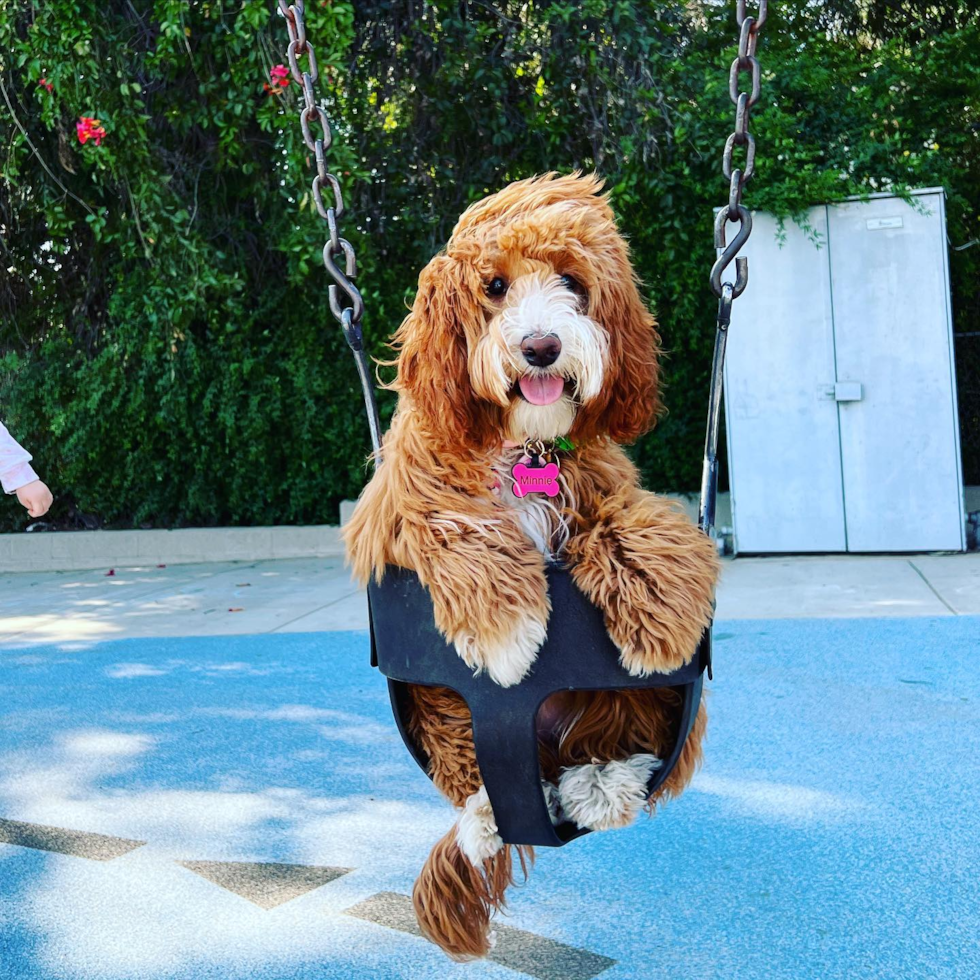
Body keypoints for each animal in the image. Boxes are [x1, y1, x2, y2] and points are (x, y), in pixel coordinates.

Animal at [344, 170, 720, 956]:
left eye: (573, 283)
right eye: (494, 285)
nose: (542, 347)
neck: (527, 444)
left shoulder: (605, 485)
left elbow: (647, 525)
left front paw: (662, 620)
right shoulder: (400, 505)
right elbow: (459, 525)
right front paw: (508, 634)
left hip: (630, 713)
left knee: (618, 743)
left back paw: (601, 785)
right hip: (439, 704)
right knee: (466, 765)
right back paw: (491, 811)